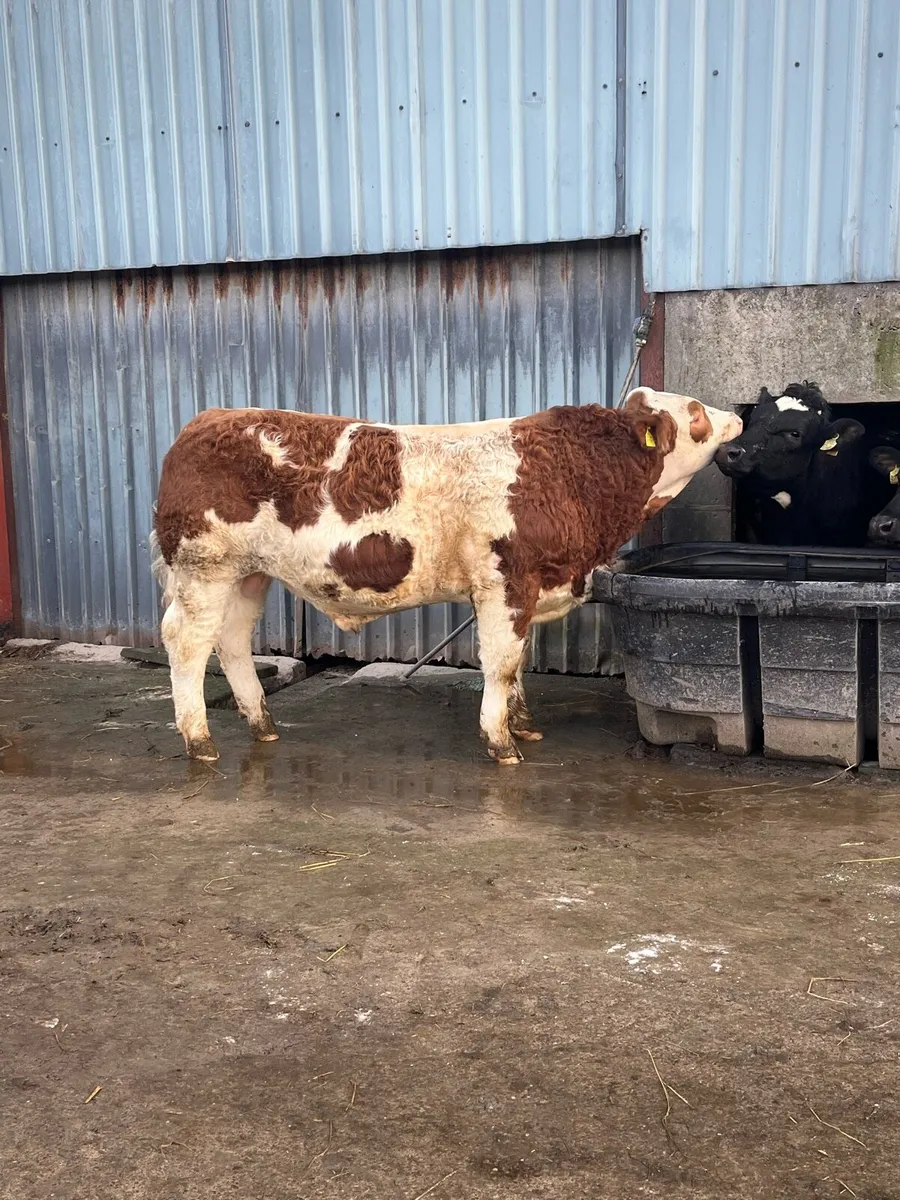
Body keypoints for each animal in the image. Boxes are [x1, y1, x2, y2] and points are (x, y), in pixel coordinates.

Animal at [151, 388, 742, 765]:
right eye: (695, 414)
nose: (736, 417)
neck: (572, 472)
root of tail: (206, 420)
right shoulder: (505, 581)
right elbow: (501, 663)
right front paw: (502, 743)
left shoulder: (525, 590)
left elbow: (518, 660)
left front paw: (523, 723)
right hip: (205, 567)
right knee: (187, 642)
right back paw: (200, 742)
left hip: (249, 575)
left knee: (230, 641)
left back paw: (263, 725)